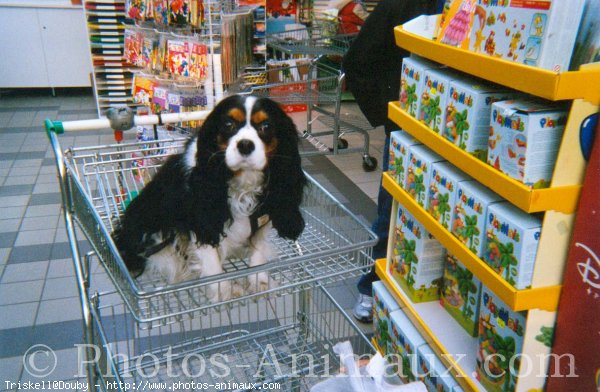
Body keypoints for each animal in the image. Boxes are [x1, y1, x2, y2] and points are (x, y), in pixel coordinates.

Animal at [112, 94, 308, 300]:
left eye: (266, 126)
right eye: (228, 124)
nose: (245, 144)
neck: (243, 181)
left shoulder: (263, 217)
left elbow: (259, 251)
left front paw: (259, 281)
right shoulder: (203, 221)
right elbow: (212, 262)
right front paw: (224, 291)